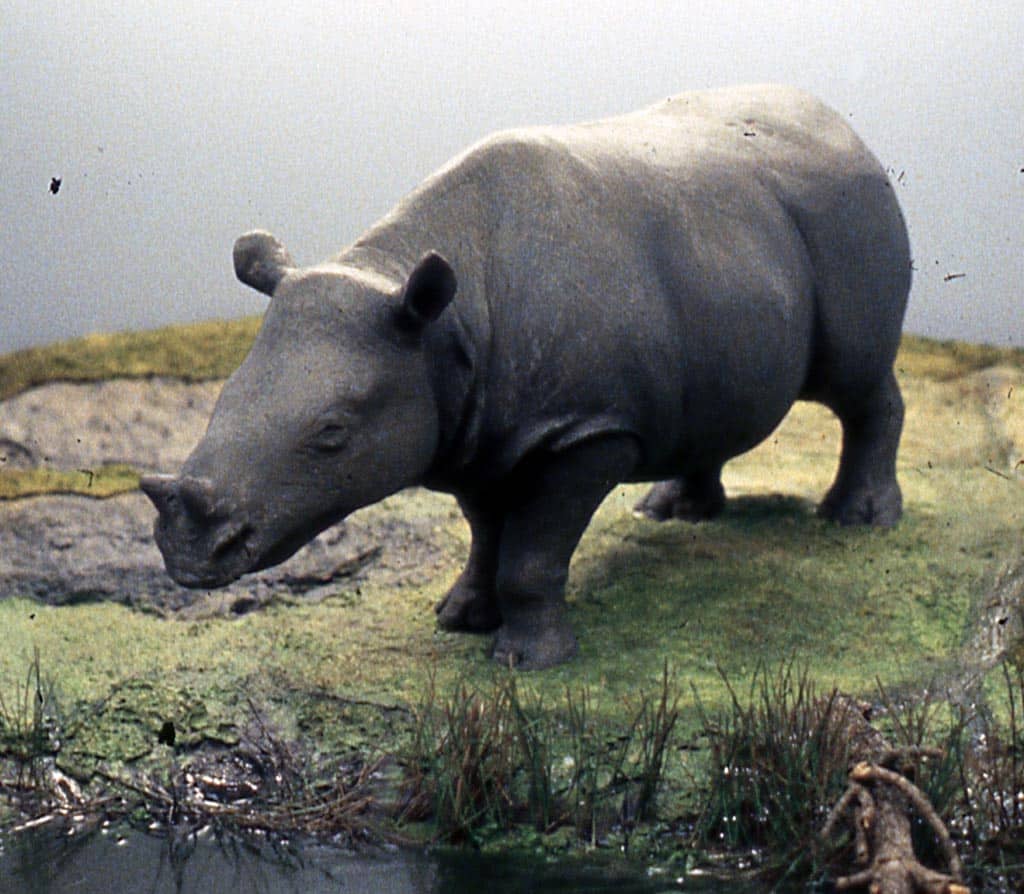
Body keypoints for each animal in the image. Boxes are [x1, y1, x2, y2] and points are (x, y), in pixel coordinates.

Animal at [142, 84, 911, 669]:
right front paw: (459, 617)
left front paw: (529, 661)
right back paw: (673, 512)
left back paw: (857, 521)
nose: (188, 550)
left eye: (332, 433)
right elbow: (487, 536)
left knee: (856, 383)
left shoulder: (585, 430)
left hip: (848, 210)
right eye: (222, 397)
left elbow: (531, 555)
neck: (444, 322)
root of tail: (849, 131)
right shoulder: (473, 430)